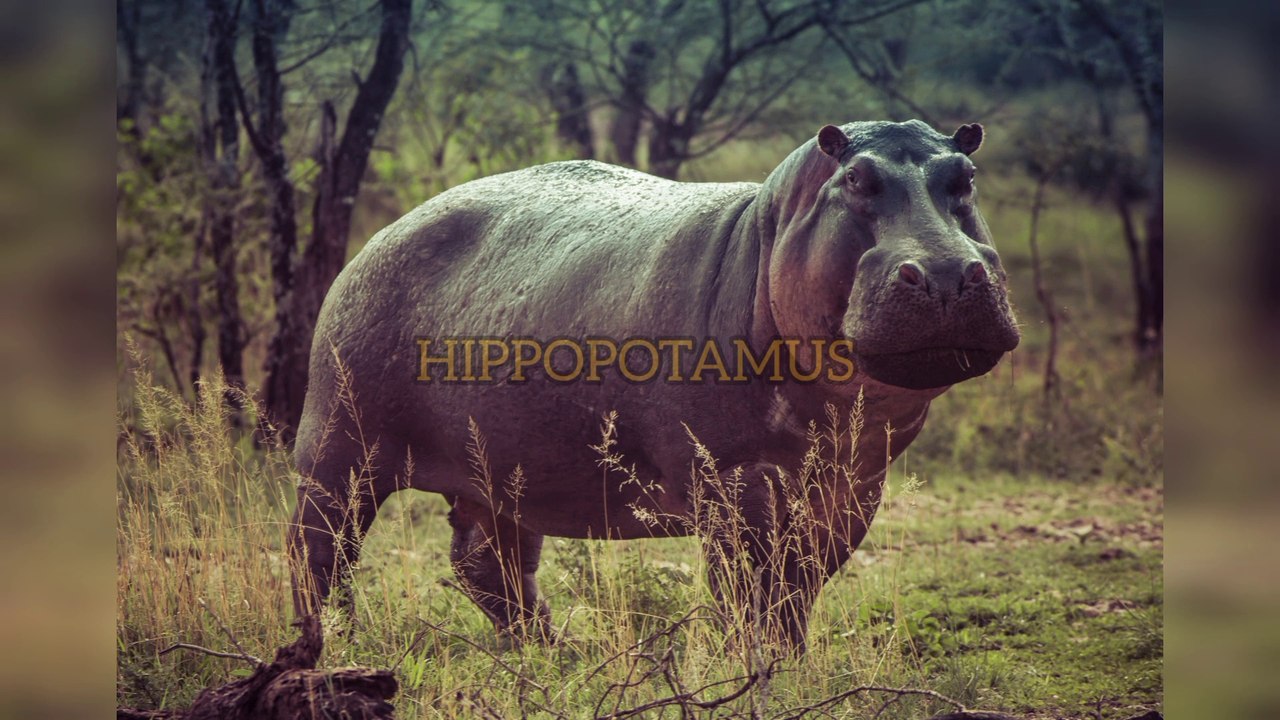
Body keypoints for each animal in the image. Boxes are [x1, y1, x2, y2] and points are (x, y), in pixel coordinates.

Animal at [290, 119, 1019, 651]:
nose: (947, 272)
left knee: (488, 565)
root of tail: (383, 233)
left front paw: (791, 663)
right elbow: (748, 590)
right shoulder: (731, 478)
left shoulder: (854, 483)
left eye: (967, 178)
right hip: (340, 446)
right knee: (317, 550)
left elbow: (797, 590)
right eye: (857, 179)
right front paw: (754, 671)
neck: (767, 235)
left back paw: (552, 653)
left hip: (497, 472)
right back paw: (322, 648)